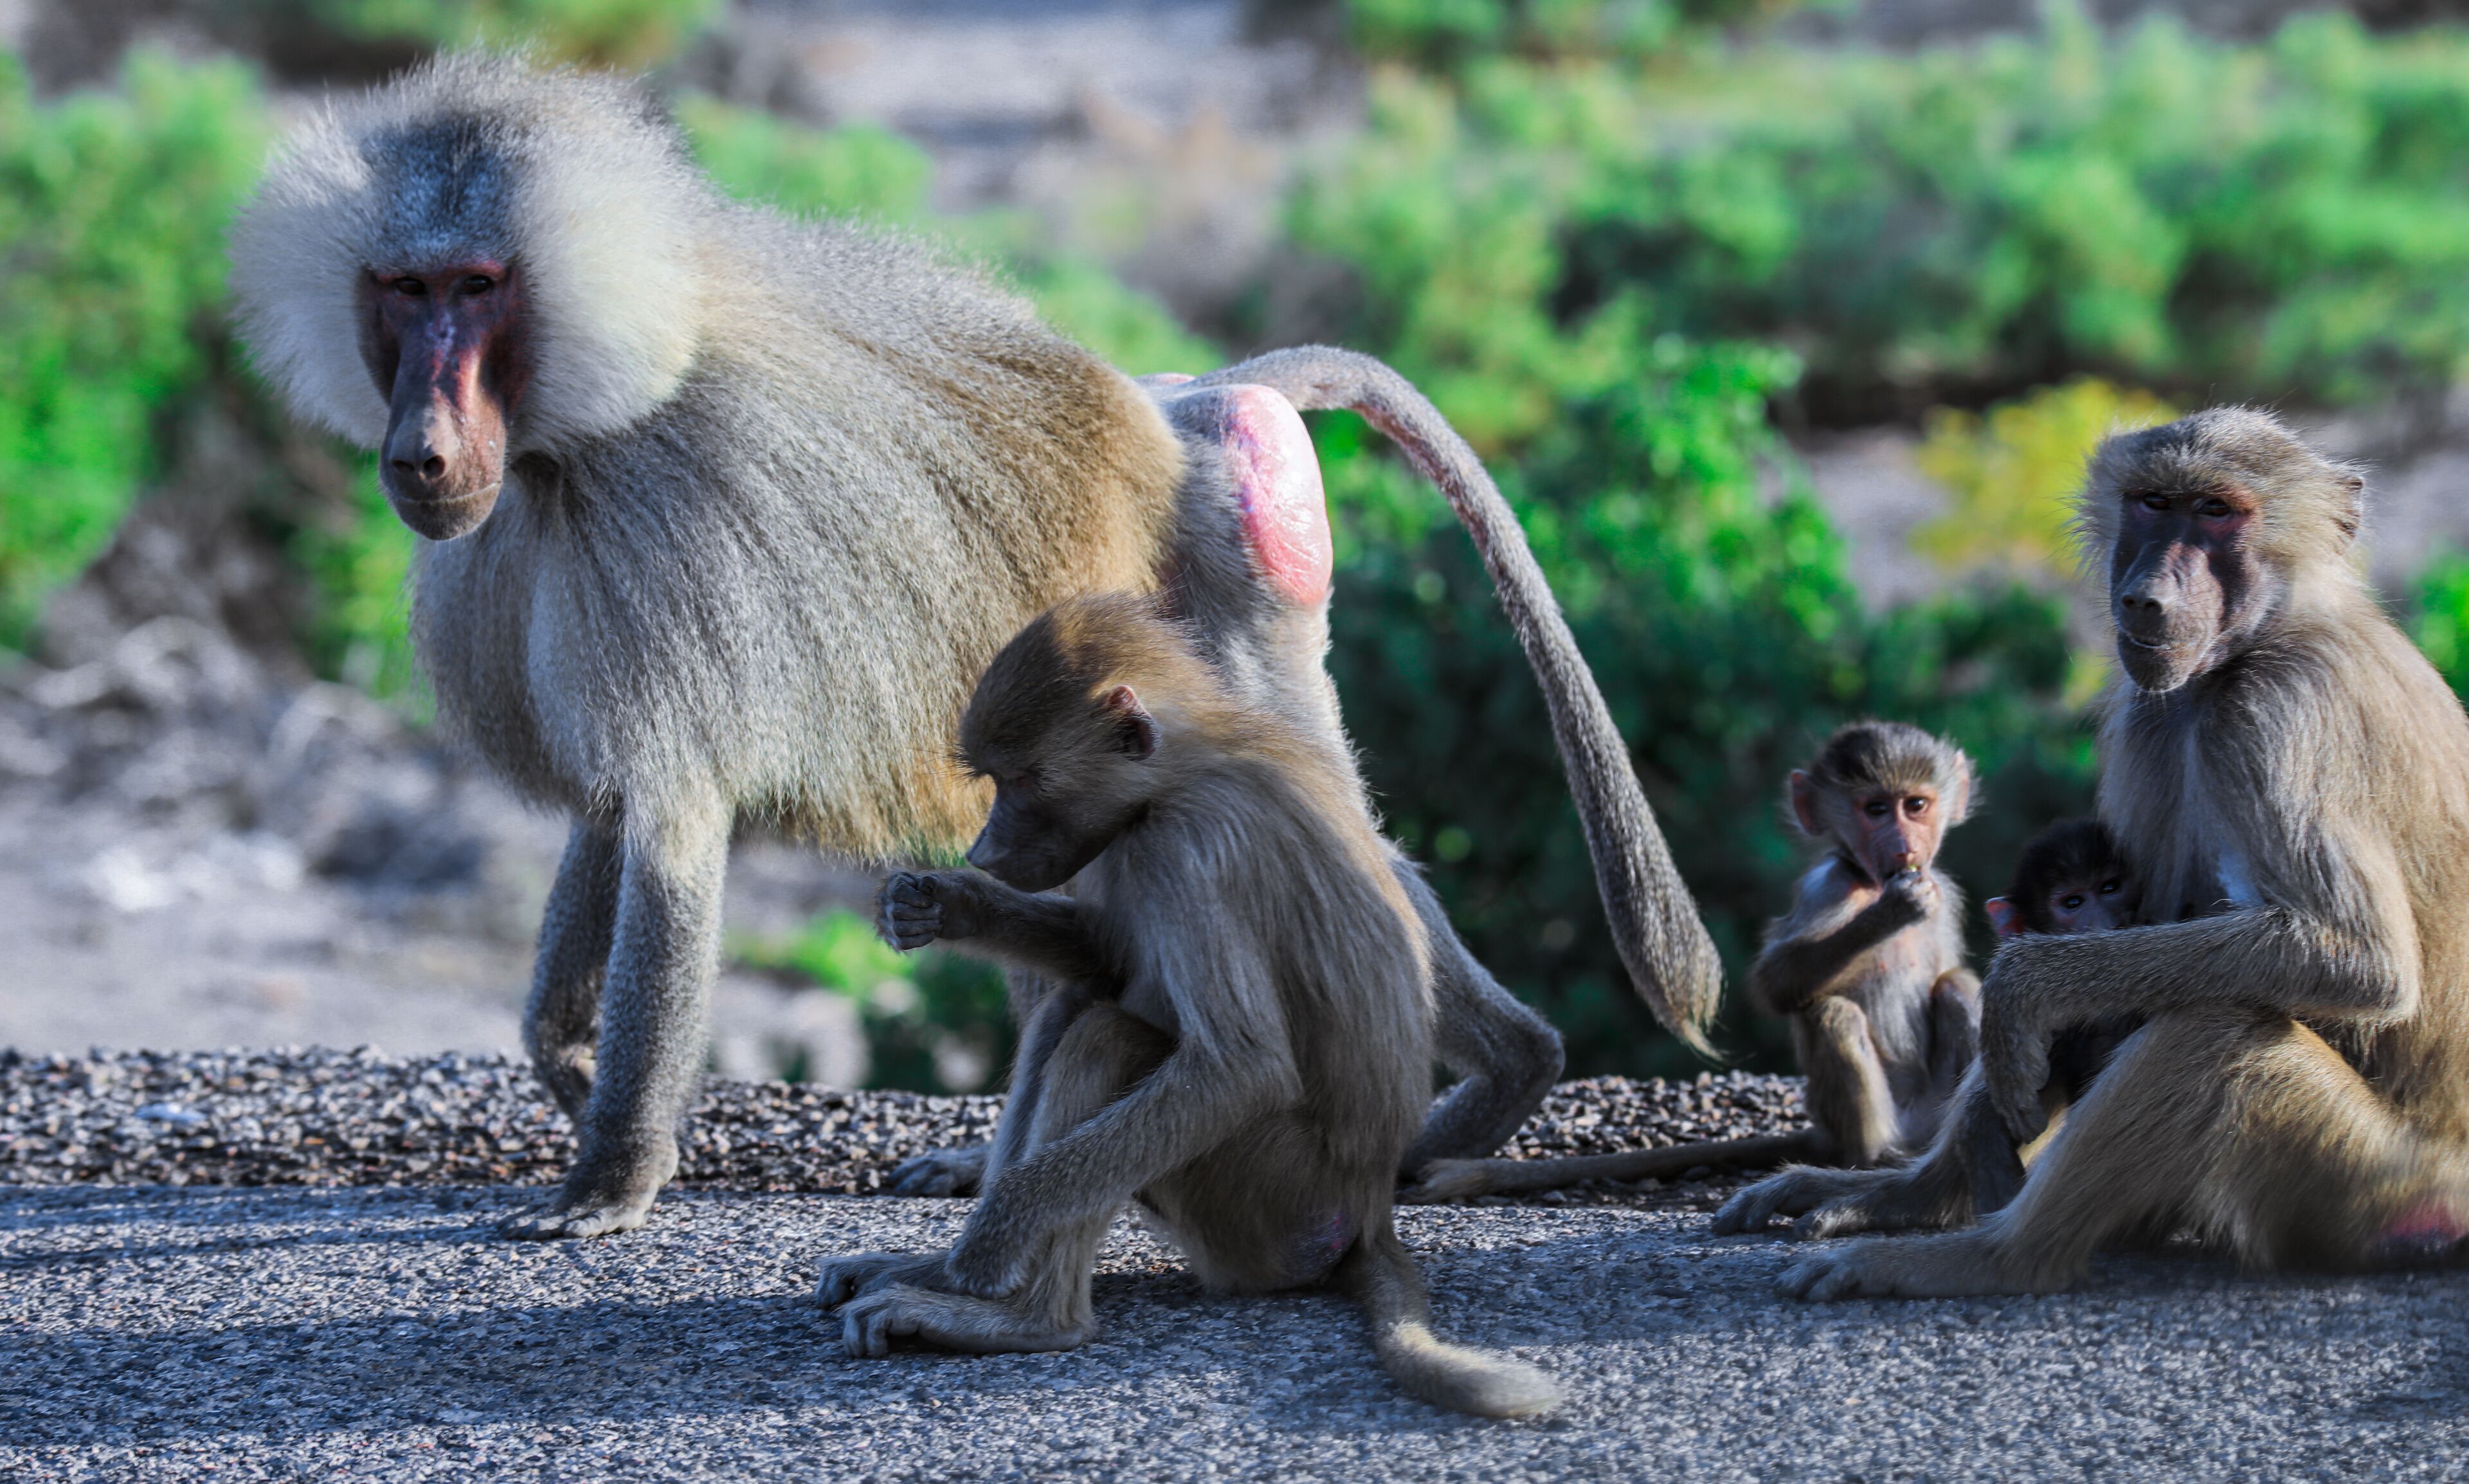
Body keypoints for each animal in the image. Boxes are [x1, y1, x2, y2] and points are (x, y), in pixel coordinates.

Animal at [228, 56, 1721, 1238]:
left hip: (1231, 613)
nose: (420, 454)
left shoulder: (663, 542)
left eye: (479, 290)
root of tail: (1198, 396)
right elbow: (616, 806)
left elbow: (675, 830)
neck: (583, 424)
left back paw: (1503, 1078)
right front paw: (565, 1058)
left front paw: (616, 1173)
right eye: (402, 289)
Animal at [817, 594, 1560, 1419]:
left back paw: (1032, 1321)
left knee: (1106, 1036)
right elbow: (1104, 961)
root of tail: (1369, 1213)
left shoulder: (1186, 846)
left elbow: (1241, 1067)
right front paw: (944, 904)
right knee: (1075, 1007)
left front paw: (995, 1236)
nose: (983, 851)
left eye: (1021, 779)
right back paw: (942, 1275)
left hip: (1268, 1203)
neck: (1185, 768)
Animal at [1397, 721, 1979, 1204]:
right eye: (1875, 809)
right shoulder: (1829, 887)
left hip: (1931, 1109)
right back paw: (1871, 1157)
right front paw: (1895, 909)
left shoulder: (1949, 891)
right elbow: (1777, 983)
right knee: (1835, 1013)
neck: (1868, 879)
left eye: (1916, 805)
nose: (1903, 846)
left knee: (1958, 987)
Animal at [1721, 408, 2469, 1296]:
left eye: (2217, 511)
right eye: (2153, 502)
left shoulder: (2276, 713)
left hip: (2372, 1185)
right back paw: (1911, 1196)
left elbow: (2357, 957)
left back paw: (1992, 1256)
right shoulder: (2157, 713)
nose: (2146, 595)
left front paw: (2023, 989)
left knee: (2215, 1028)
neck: (2271, 631)